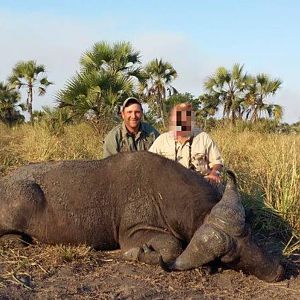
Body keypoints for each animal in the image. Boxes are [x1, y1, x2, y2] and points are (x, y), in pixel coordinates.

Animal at [0, 151, 284, 282]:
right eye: (228, 257)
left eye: (249, 235)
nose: (278, 271)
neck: (163, 193)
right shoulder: (133, 234)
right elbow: (171, 247)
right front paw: (137, 254)